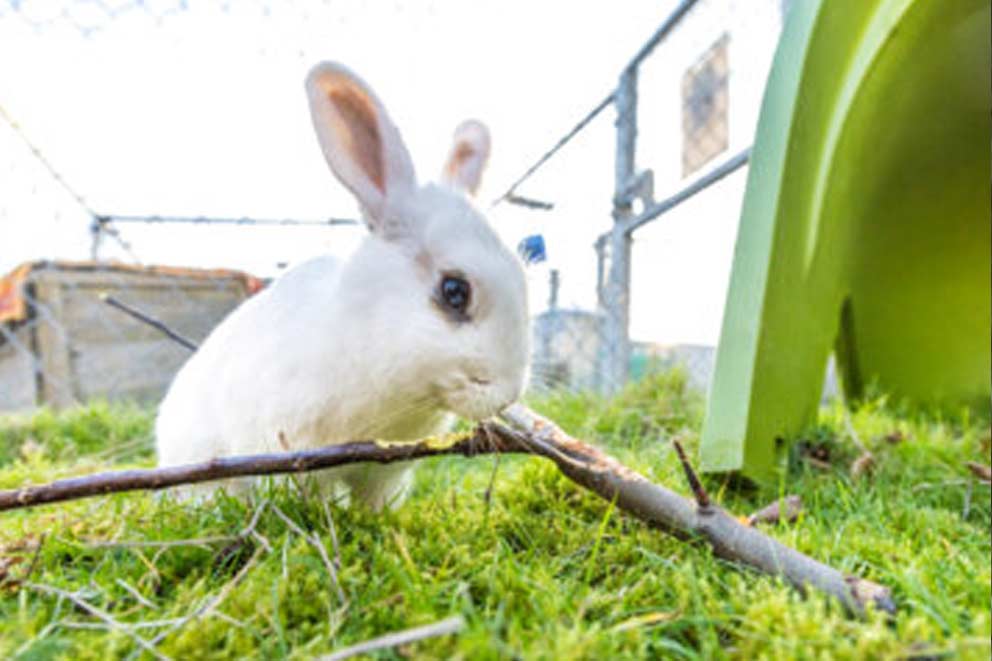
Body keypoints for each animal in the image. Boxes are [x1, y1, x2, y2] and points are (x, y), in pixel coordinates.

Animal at [155, 62, 530, 510]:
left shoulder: (386, 471)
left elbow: (374, 502)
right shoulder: (293, 455)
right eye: (455, 291)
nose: (508, 394)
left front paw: (377, 521)